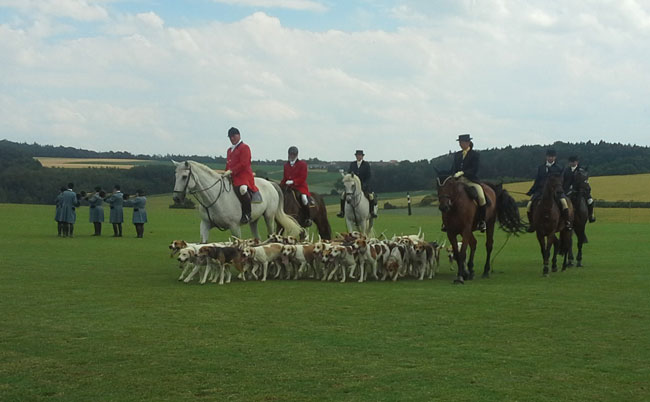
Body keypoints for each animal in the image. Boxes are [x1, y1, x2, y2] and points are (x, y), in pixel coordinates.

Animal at [172, 160, 303, 242]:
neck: (213, 198)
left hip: (269, 217)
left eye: (184, 176)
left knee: (271, 235)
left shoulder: (234, 227)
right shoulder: (205, 224)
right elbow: (203, 245)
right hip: (254, 220)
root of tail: (270, 183)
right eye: (175, 176)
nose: (176, 198)